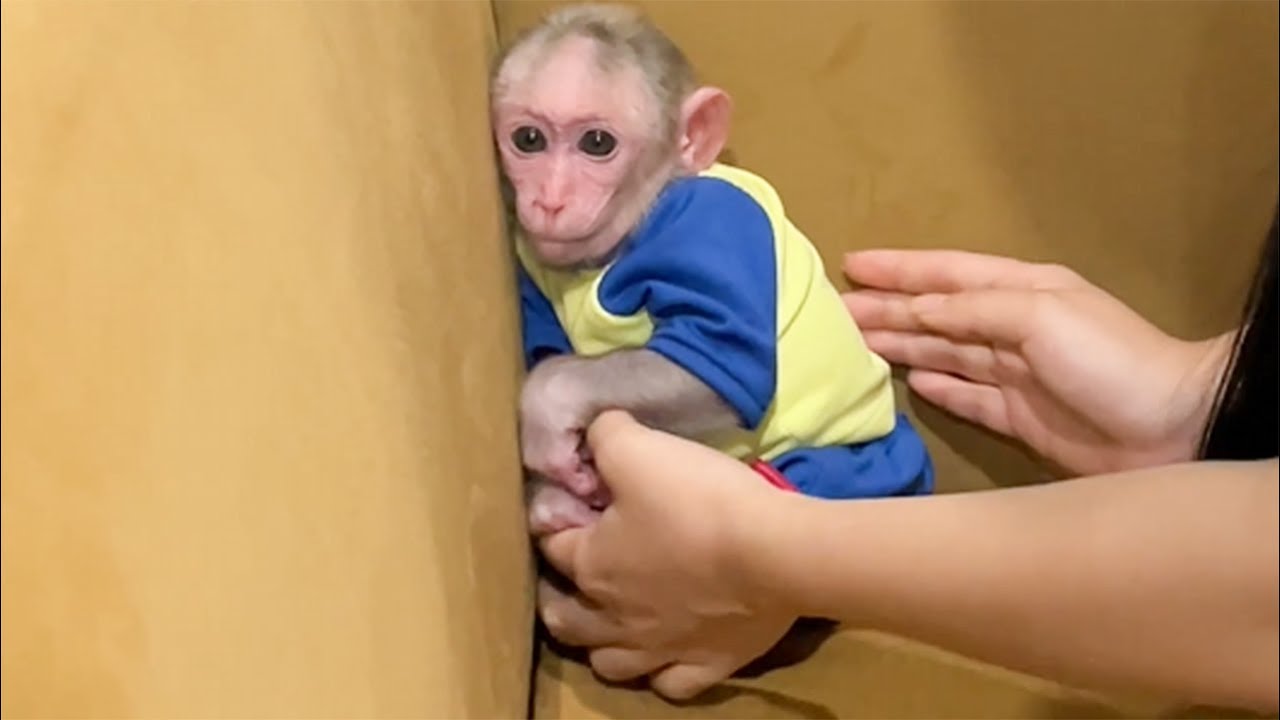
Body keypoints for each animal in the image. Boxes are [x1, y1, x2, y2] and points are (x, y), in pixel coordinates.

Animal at [490, 3, 936, 537]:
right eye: (528, 139)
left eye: (596, 143)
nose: (551, 199)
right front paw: (553, 497)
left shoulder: (709, 225)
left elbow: (716, 358)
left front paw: (547, 403)